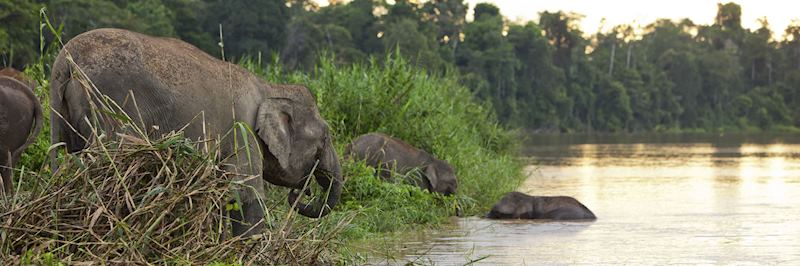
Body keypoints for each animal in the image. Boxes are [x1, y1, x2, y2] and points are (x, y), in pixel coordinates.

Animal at [49, 28, 344, 237]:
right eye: (324, 139)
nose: (300, 194)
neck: (269, 87)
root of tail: (65, 61)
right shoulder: (242, 131)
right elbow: (246, 194)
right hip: (109, 106)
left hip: (63, 114)